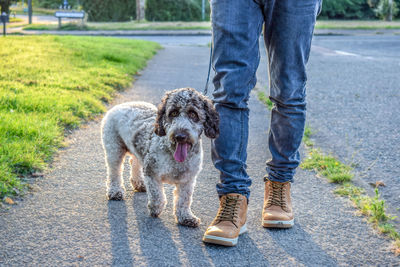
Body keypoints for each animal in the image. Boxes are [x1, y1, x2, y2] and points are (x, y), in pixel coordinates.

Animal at [100, 88, 219, 228]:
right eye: (173, 112)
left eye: (193, 114)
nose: (180, 136)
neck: (173, 154)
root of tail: (120, 105)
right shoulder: (152, 172)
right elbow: (157, 195)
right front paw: (155, 209)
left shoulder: (188, 180)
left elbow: (184, 200)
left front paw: (186, 217)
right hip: (114, 149)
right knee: (114, 172)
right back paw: (115, 191)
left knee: (134, 162)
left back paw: (139, 183)